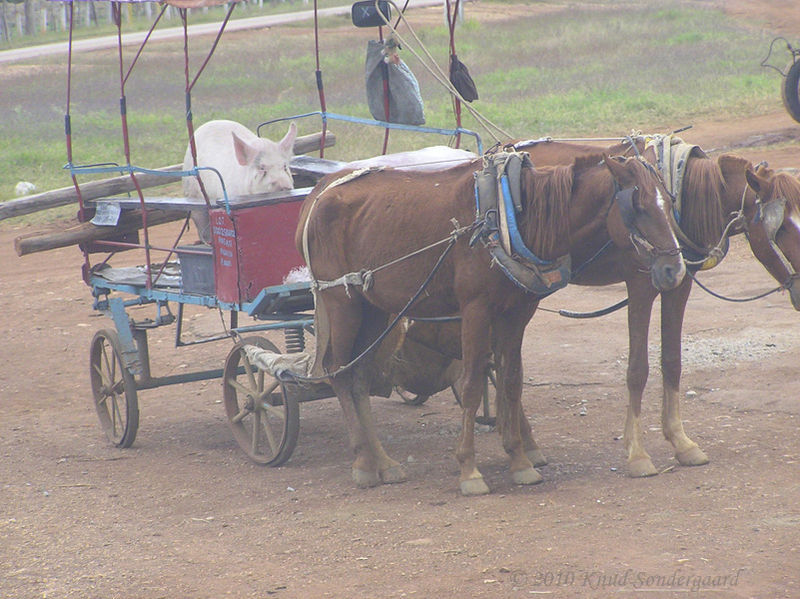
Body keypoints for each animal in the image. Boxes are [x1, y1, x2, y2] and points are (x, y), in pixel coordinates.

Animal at [296, 155, 684, 496]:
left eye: (669, 203)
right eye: (640, 207)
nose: (674, 270)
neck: (509, 215)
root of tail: (320, 194)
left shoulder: (517, 311)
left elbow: (511, 380)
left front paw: (520, 460)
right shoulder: (476, 309)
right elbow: (471, 383)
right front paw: (469, 469)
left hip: (373, 307)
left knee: (361, 375)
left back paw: (384, 462)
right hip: (342, 302)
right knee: (340, 372)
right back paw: (363, 462)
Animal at [506, 139, 800, 478]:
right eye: (781, 229)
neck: (679, 198)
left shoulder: (678, 284)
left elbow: (672, 360)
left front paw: (682, 442)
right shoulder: (640, 286)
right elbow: (637, 369)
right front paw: (637, 453)